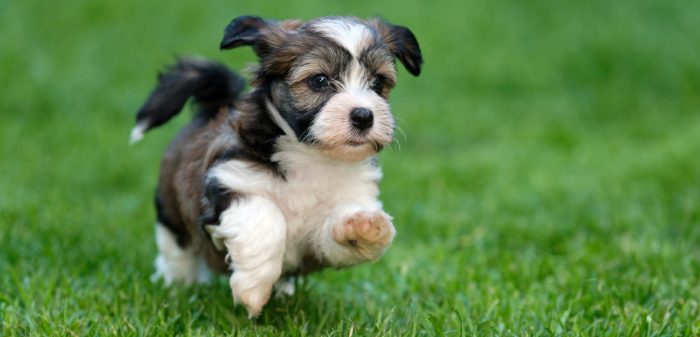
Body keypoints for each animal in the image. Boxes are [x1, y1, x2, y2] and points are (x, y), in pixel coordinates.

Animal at [131, 14, 422, 316]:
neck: (311, 156)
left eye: (377, 82)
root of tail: (212, 110)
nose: (364, 116)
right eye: (319, 80)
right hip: (171, 212)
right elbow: (266, 218)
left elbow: (335, 234)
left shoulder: (321, 235)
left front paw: (364, 227)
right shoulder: (231, 179)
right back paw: (179, 285)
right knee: (176, 249)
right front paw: (253, 288)